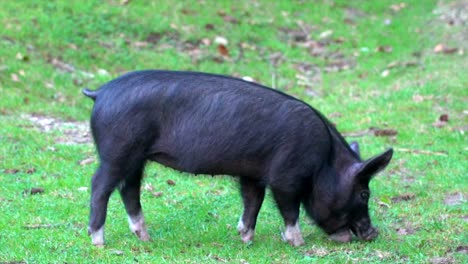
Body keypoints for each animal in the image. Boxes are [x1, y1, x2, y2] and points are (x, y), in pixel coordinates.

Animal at [82, 69, 394, 245]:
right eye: (364, 193)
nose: (373, 233)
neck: (324, 161)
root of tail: (100, 92)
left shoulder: (252, 174)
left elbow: (252, 201)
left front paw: (245, 238)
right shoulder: (286, 177)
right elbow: (288, 208)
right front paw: (298, 243)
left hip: (136, 157)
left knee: (129, 189)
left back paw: (146, 239)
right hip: (118, 150)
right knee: (99, 186)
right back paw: (99, 241)